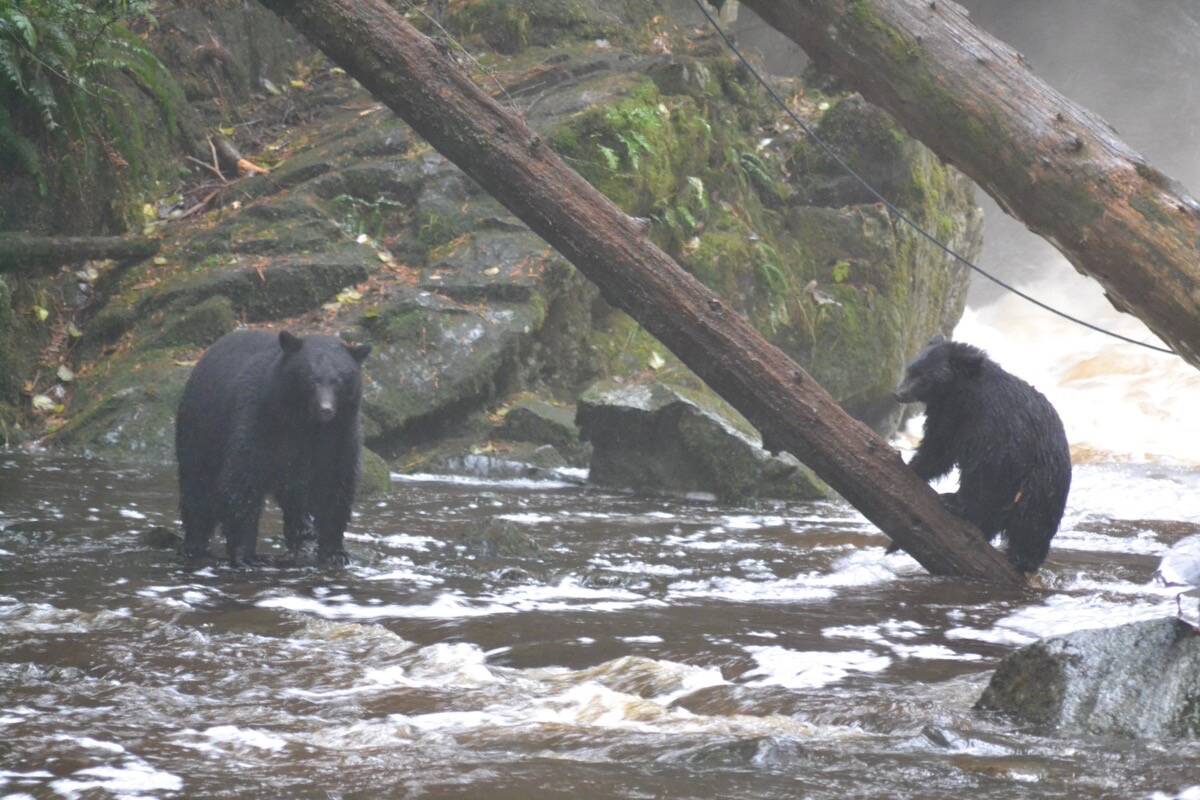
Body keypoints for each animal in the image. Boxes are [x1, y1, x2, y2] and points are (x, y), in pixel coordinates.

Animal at [175, 328, 369, 566]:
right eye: (312, 379)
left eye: (339, 380)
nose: (326, 409)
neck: (305, 422)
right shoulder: (258, 418)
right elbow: (243, 480)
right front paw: (245, 555)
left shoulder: (340, 433)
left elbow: (335, 483)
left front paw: (334, 552)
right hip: (201, 430)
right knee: (197, 487)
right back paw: (194, 544)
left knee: (295, 499)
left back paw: (304, 533)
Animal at [892, 335, 1070, 573]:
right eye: (911, 370)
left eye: (924, 377)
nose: (899, 393)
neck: (964, 396)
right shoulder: (948, 416)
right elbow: (939, 447)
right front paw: (914, 466)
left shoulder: (996, 424)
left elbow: (988, 468)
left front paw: (956, 502)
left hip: (1043, 482)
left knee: (1031, 520)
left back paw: (1022, 557)